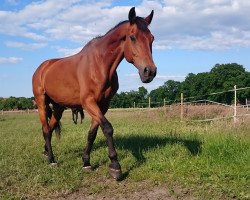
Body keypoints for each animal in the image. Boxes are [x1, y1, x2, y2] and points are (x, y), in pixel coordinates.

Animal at [31, 7, 156, 180]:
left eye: (152, 38)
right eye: (132, 37)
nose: (149, 72)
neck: (99, 64)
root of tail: (43, 68)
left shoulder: (102, 105)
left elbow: (92, 133)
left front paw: (86, 162)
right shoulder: (88, 102)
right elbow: (108, 128)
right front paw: (115, 166)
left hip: (58, 107)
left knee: (50, 128)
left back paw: (46, 153)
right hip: (41, 103)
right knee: (45, 130)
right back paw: (52, 160)